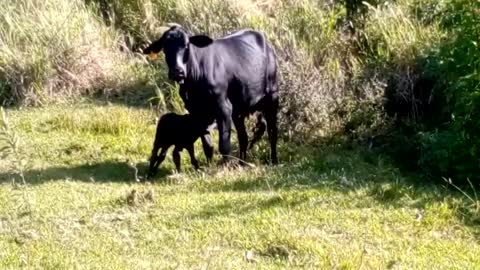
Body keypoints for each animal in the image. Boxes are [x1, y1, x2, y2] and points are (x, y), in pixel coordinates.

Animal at [142, 25, 278, 162]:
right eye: (165, 47)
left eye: (186, 45)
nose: (177, 71)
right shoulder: (196, 112)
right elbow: (207, 146)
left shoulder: (223, 107)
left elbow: (224, 145)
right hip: (239, 109)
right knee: (243, 137)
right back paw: (242, 162)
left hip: (272, 96)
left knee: (272, 133)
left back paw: (273, 160)